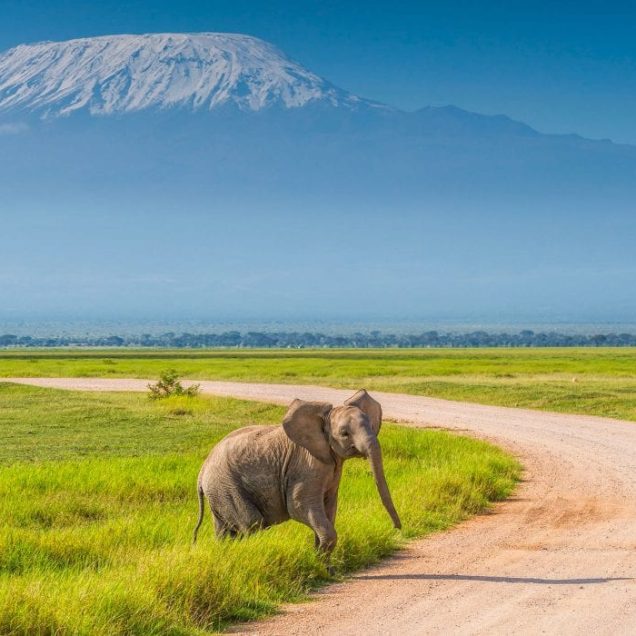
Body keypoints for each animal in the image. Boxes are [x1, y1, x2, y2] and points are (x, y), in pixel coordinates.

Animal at [194, 388, 400, 560]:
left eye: (372, 426)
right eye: (344, 433)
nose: (396, 529)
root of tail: (202, 471)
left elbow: (329, 508)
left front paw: (322, 564)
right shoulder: (305, 465)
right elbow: (299, 505)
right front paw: (318, 561)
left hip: (219, 491)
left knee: (224, 530)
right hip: (226, 486)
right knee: (251, 523)